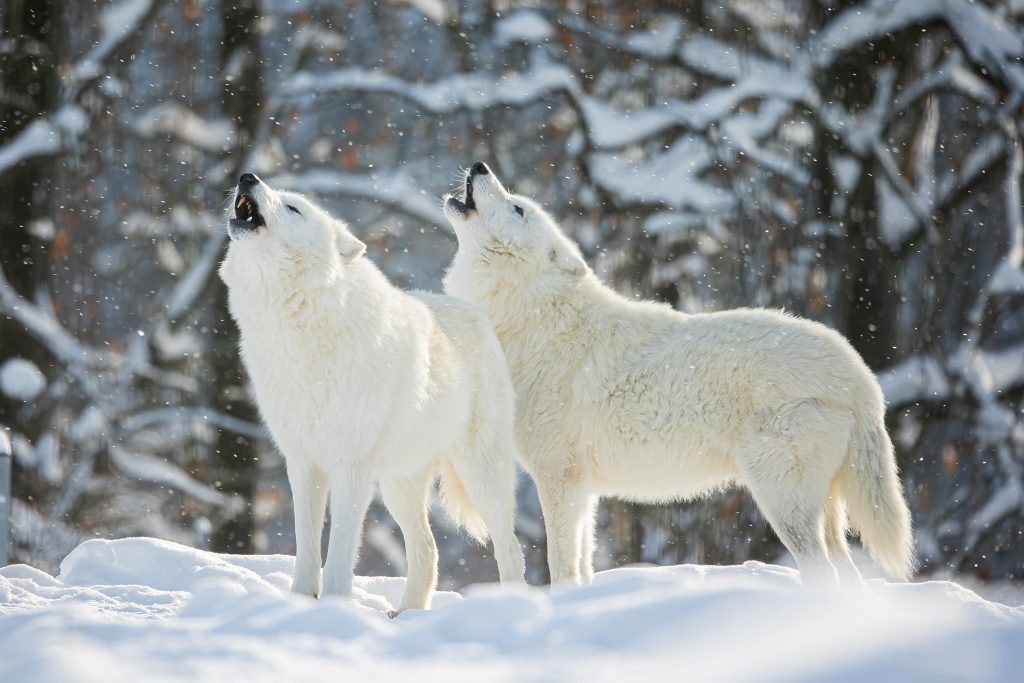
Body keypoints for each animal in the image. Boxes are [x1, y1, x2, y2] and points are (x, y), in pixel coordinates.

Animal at [216, 174, 520, 610]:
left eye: (293, 208)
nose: (247, 177)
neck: (299, 327)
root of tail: (473, 311)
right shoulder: (302, 463)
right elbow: (307, 548)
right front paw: (299, 604)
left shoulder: (352, 468)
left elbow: (341, 551)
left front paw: (334, 607)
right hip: (398, 485)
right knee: (428, 548)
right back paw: (406, 614)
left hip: (480, 473)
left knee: (510, 547)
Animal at [440, 161, 913, 589]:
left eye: (517, 208)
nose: (479, 164)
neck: (530, 315)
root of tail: (861, 379)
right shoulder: (584, 489)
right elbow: (584, 565)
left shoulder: (558, 478)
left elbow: (560, 565)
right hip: (821, 509)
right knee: (849, 574)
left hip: (780, 501)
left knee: (824, 570)